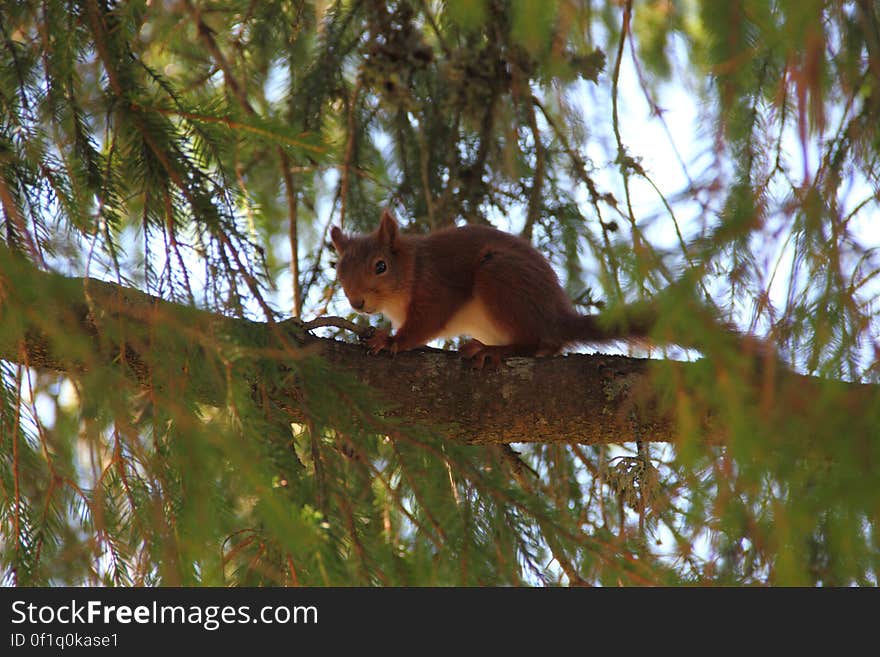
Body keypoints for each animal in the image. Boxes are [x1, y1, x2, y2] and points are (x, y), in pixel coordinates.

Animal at [330, 208, 652, 366]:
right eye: (338, 271)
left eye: (380, 266)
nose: (356, 303)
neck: (413, 267)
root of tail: (557, 319)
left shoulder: (436, 287)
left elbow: (426, 322)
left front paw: (390, 340)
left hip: (499, 277)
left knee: (534, 342)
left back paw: (492, 351)